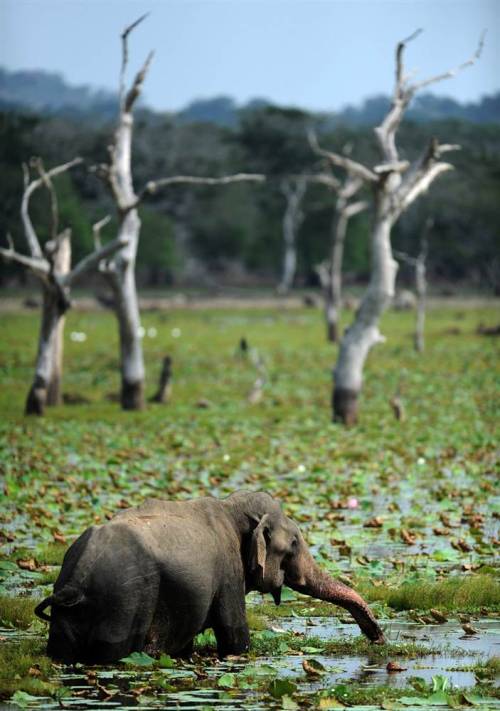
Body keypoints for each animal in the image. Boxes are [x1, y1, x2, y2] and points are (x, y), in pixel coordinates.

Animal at [35, 490, 384, 660]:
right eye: (295, 543)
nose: (378, 638)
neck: (230, 506)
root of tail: (75, 582)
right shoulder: (228, 570)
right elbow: (233, 633)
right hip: (124, 602)